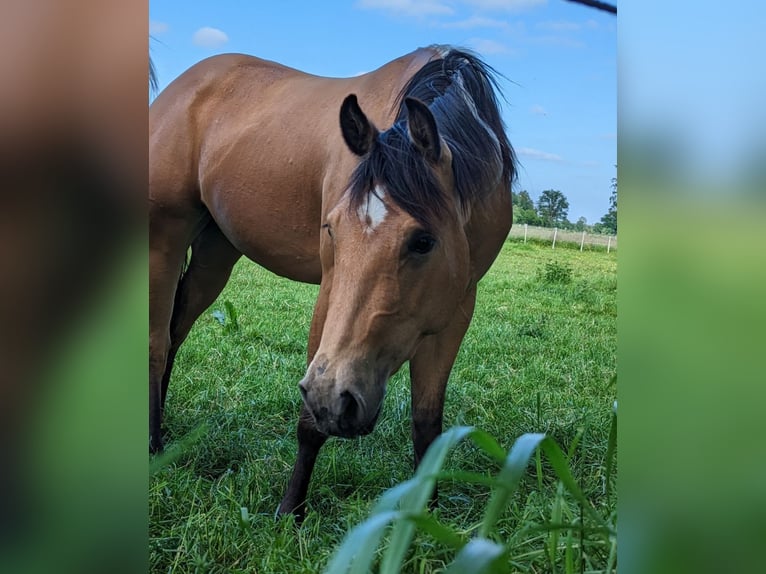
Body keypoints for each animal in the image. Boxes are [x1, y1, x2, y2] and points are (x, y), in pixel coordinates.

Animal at [149, 45, 515, 517]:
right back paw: (154, 445)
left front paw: (425, 518)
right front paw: (290, 512)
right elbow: (310, 424)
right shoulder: (330, 291)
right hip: (164, 239)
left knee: (175, 333)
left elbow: (426, 425)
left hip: (216, 251)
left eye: (423, 241)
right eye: (331, 229)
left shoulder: (454, 311)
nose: (337, 399)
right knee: (157, 343)